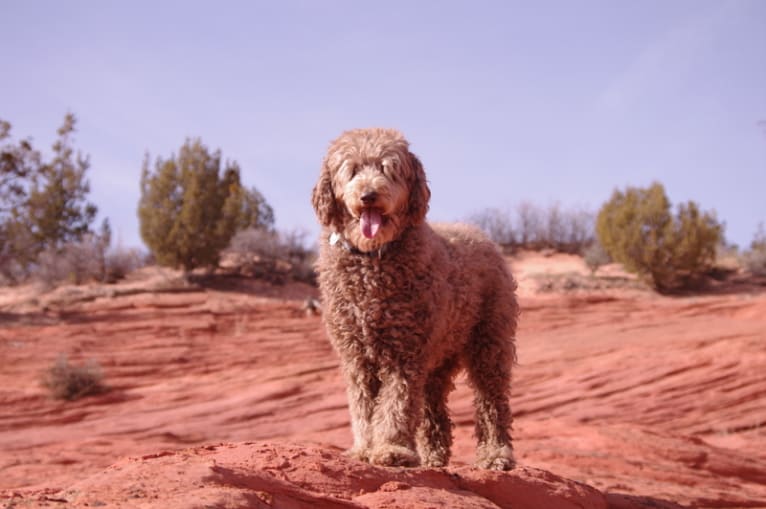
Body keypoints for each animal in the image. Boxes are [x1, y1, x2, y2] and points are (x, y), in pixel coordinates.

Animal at [312, 127, 520, 468]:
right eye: (352, 170)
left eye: (387, 169)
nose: (368, 195)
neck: (372, 261)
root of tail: (481, 235)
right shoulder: (357, 355)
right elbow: (364, 406)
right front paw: (364, 449)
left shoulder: (404, 352)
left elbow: (396, 404)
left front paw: (391, 449)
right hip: (438, 356)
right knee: (433, 408)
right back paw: (433, 457)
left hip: (489, 343)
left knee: (492, 401)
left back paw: (495, 455)